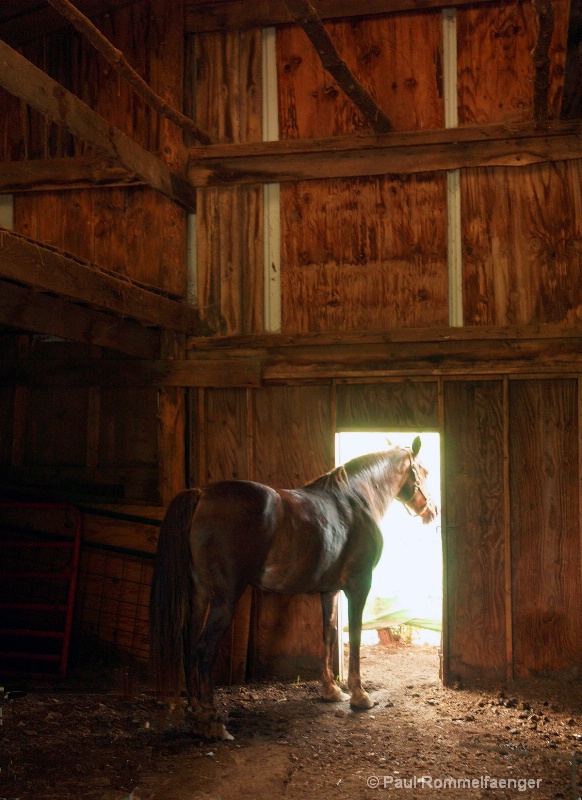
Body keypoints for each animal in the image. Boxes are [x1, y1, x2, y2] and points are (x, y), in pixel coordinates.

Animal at [149, 438, 438, 736]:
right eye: (425, 472)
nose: (432, 511)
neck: (356, 499)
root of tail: (201, 494)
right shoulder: (359, 586)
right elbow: (355, 637)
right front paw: (359, 695)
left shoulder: (330, 591)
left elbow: (329, 633)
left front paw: (331, 690)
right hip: (223, 601)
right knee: (204, 650)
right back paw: (211, 721)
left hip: (200, 596)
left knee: (189, 646)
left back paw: (196, 711)